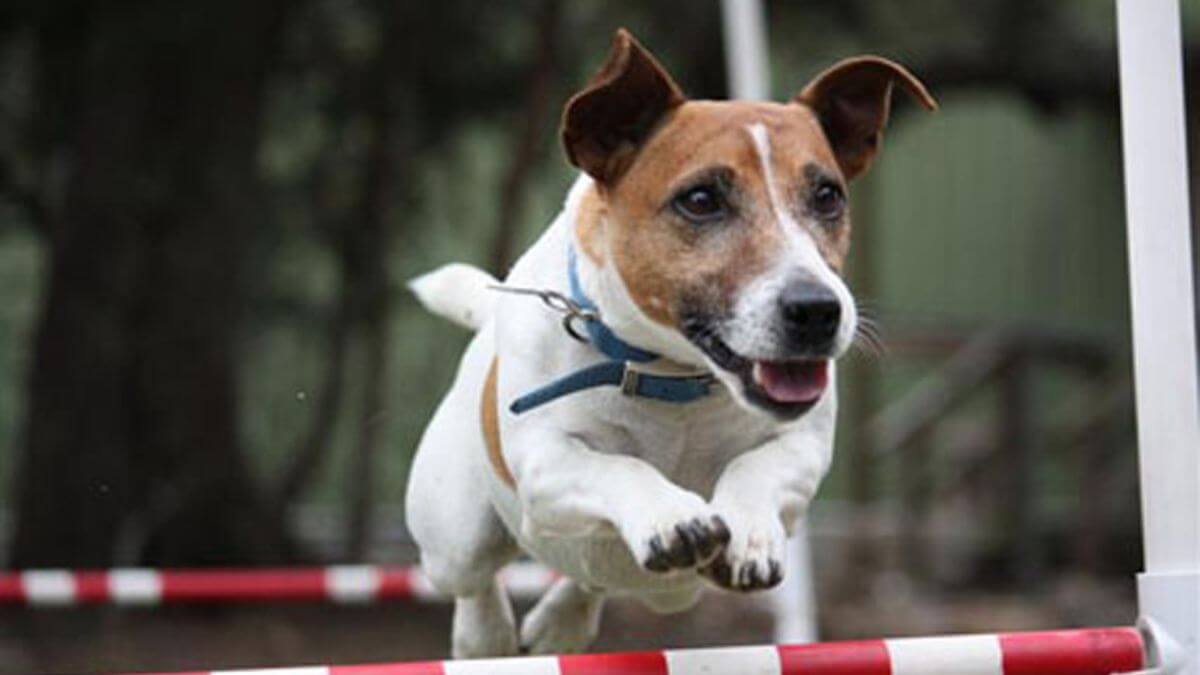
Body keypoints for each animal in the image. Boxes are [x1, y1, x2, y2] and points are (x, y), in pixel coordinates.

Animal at [408, 28, 931, 653]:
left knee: (594, 580)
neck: (673, 379)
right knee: (474, 581)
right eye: (701, 200)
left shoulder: (802, 447)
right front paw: (668, 516)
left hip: (669, 593)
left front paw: (748, 533)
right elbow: (615, 466)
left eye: (828, 196)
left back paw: (561, 621)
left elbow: (756, 467)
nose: (817, 311)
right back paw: (483, 635)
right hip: (453, 536)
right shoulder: (545, 461)